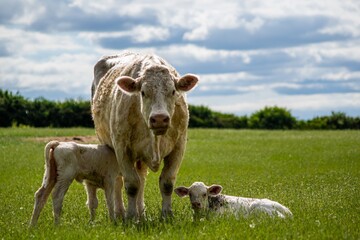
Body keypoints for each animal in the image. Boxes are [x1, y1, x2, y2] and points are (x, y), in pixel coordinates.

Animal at [91, 51, 198, 220]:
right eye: (143, 92)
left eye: (173, 91)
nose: (159, 118)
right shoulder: (122, 149)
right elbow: (131, 185)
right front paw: (130, 217)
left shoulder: (179, 146)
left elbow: (166, 183)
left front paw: (167, 215)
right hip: (109, 148)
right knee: (119, 181)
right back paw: (120, 213)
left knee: (141, 179)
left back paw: (141, 213)